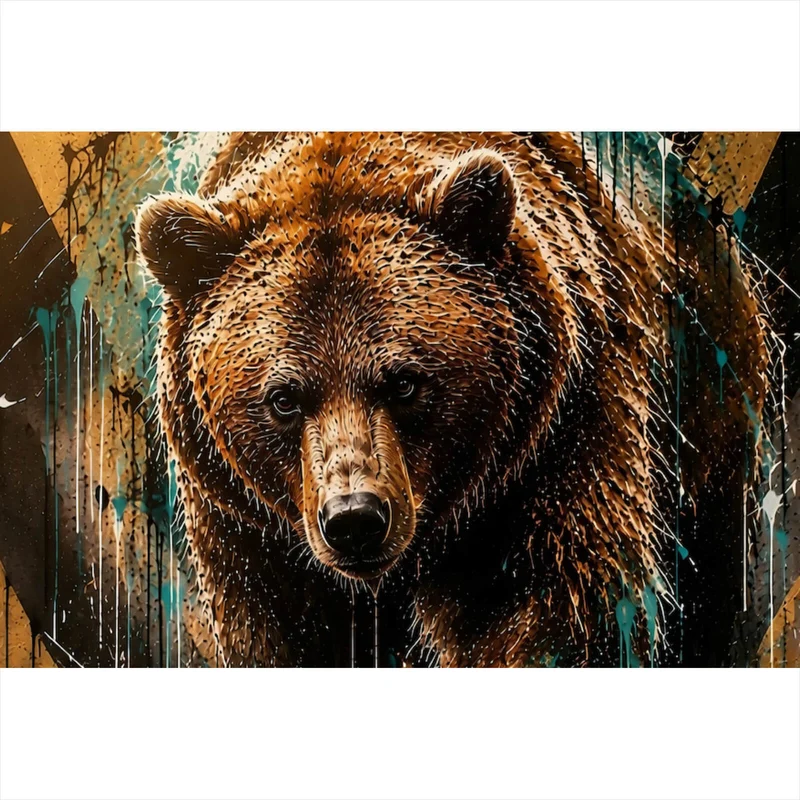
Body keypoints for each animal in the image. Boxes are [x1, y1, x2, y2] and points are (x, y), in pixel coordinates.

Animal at [134, 132, 769, 667]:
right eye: (284, 398)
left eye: (405, 382)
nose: (354, 519)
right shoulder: (247, 526)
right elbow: (280, 634)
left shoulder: (555, 447)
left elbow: (556, 612)